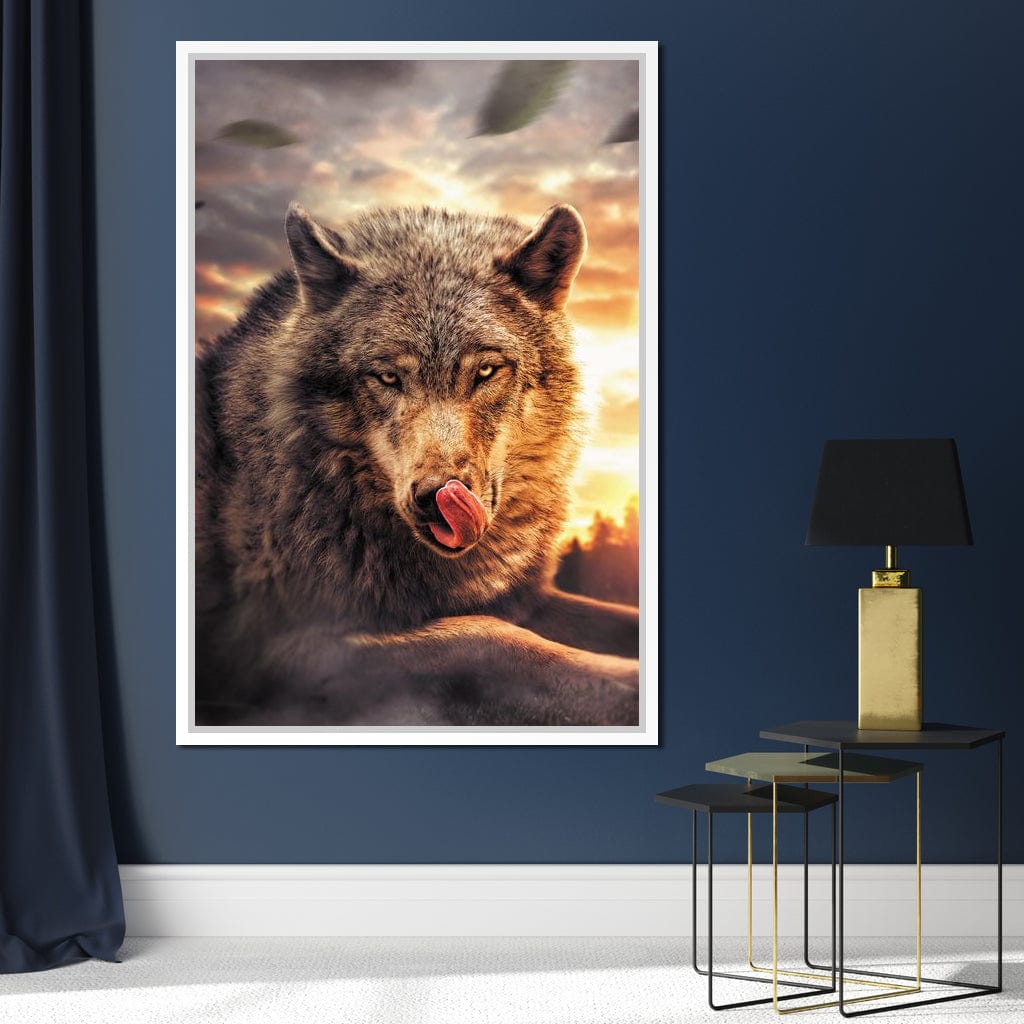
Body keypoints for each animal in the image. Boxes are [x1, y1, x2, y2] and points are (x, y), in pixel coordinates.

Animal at [195, 201, 640, 726]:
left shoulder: (523, 599)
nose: (436, 498)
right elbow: (489, 640)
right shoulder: (283, 651)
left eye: (486, 371)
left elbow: (620, 620)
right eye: (388, 377)